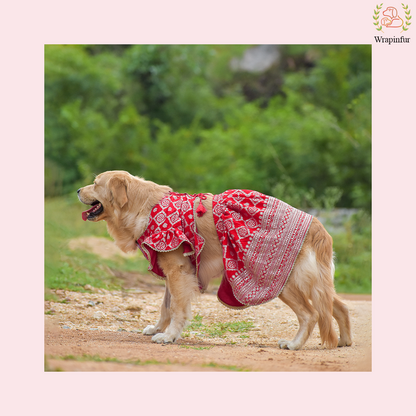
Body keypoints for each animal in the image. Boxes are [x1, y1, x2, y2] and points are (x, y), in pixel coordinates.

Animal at [77, 171, 352, 350]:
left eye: (95, 183)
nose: (78, 190)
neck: (145, 206)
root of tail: (317, 224)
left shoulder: (178, 270)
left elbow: (176, 308)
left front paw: (169, 336)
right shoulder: (172, 272)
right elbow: (165, 306)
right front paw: (158, 329)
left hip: (280, 279)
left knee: (311, 314)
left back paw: (294, 344)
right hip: (314, 281)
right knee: (338, 306)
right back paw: (344, 341)